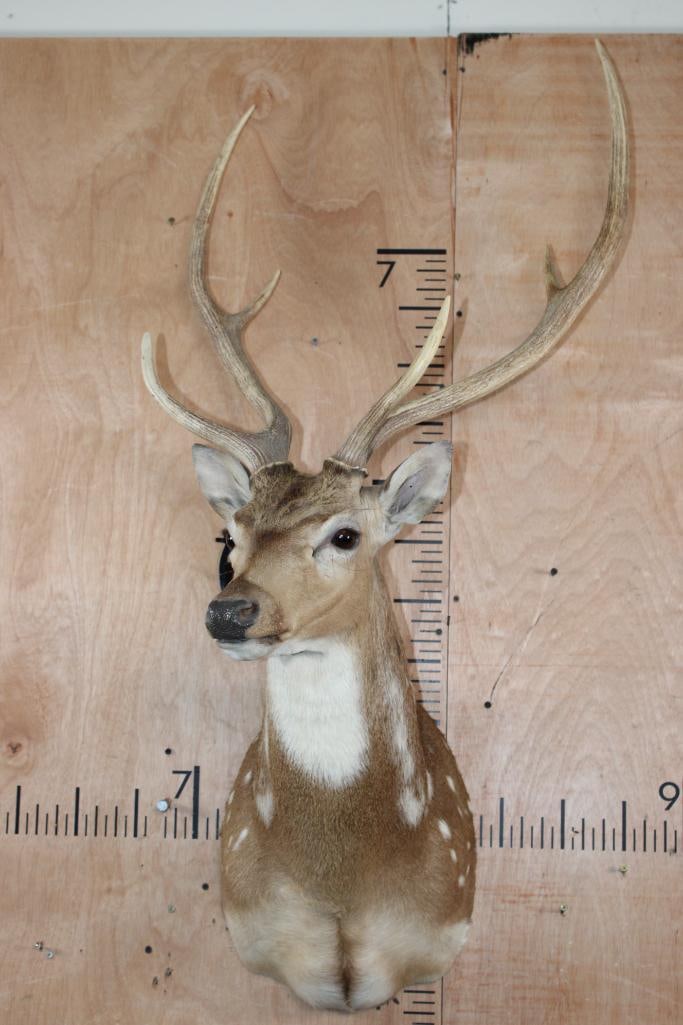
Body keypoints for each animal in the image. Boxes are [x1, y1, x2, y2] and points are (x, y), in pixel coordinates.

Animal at [140, 40, 628, 1014]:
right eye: (231, 536)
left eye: (344, 535)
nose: (230, 612)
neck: (342, 879)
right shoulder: (259, 940)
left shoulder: (436, 926)